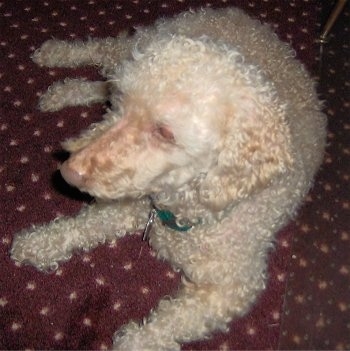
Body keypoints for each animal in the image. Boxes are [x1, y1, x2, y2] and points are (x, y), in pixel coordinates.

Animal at [11, 6, 328, 350]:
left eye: (164, 132)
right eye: (122, 105)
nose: (68, 172)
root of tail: (246, 18)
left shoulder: (230, 288)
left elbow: (168, 324)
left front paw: (134, 341)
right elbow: (82, 225)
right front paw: (39, 241)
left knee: (100, 81)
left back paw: (62, 92)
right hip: (131, 49)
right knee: (104, 52)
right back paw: (58, 56)